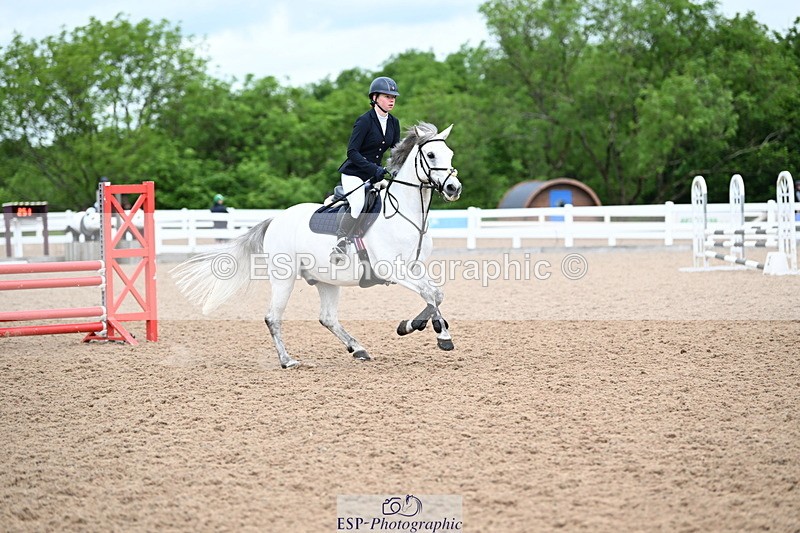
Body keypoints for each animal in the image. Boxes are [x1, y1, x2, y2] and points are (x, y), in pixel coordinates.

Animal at [171, 122, 463, 369]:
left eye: (449, 153)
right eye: (431, 155)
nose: (453, 188)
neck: (404, 215)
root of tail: (275, 219)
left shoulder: (414, 268)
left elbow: (435, 294)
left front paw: (421, 328)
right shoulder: (392, 269)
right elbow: (430, 294)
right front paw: (433, 333)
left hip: (326, 280)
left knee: (327, 317)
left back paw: (358, 348)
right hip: (284, 277)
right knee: (273, 317)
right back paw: (287, 361)